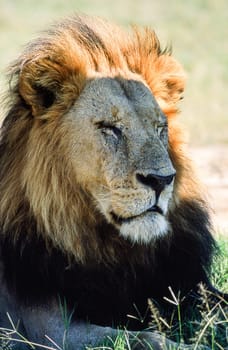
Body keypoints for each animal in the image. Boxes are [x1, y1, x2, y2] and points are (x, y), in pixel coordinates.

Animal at [0, 14, 224, 350]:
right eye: (110, 128)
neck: (118, 250)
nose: (162, 180)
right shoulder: (50, 329)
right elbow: (147, 337)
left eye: (160, 128)